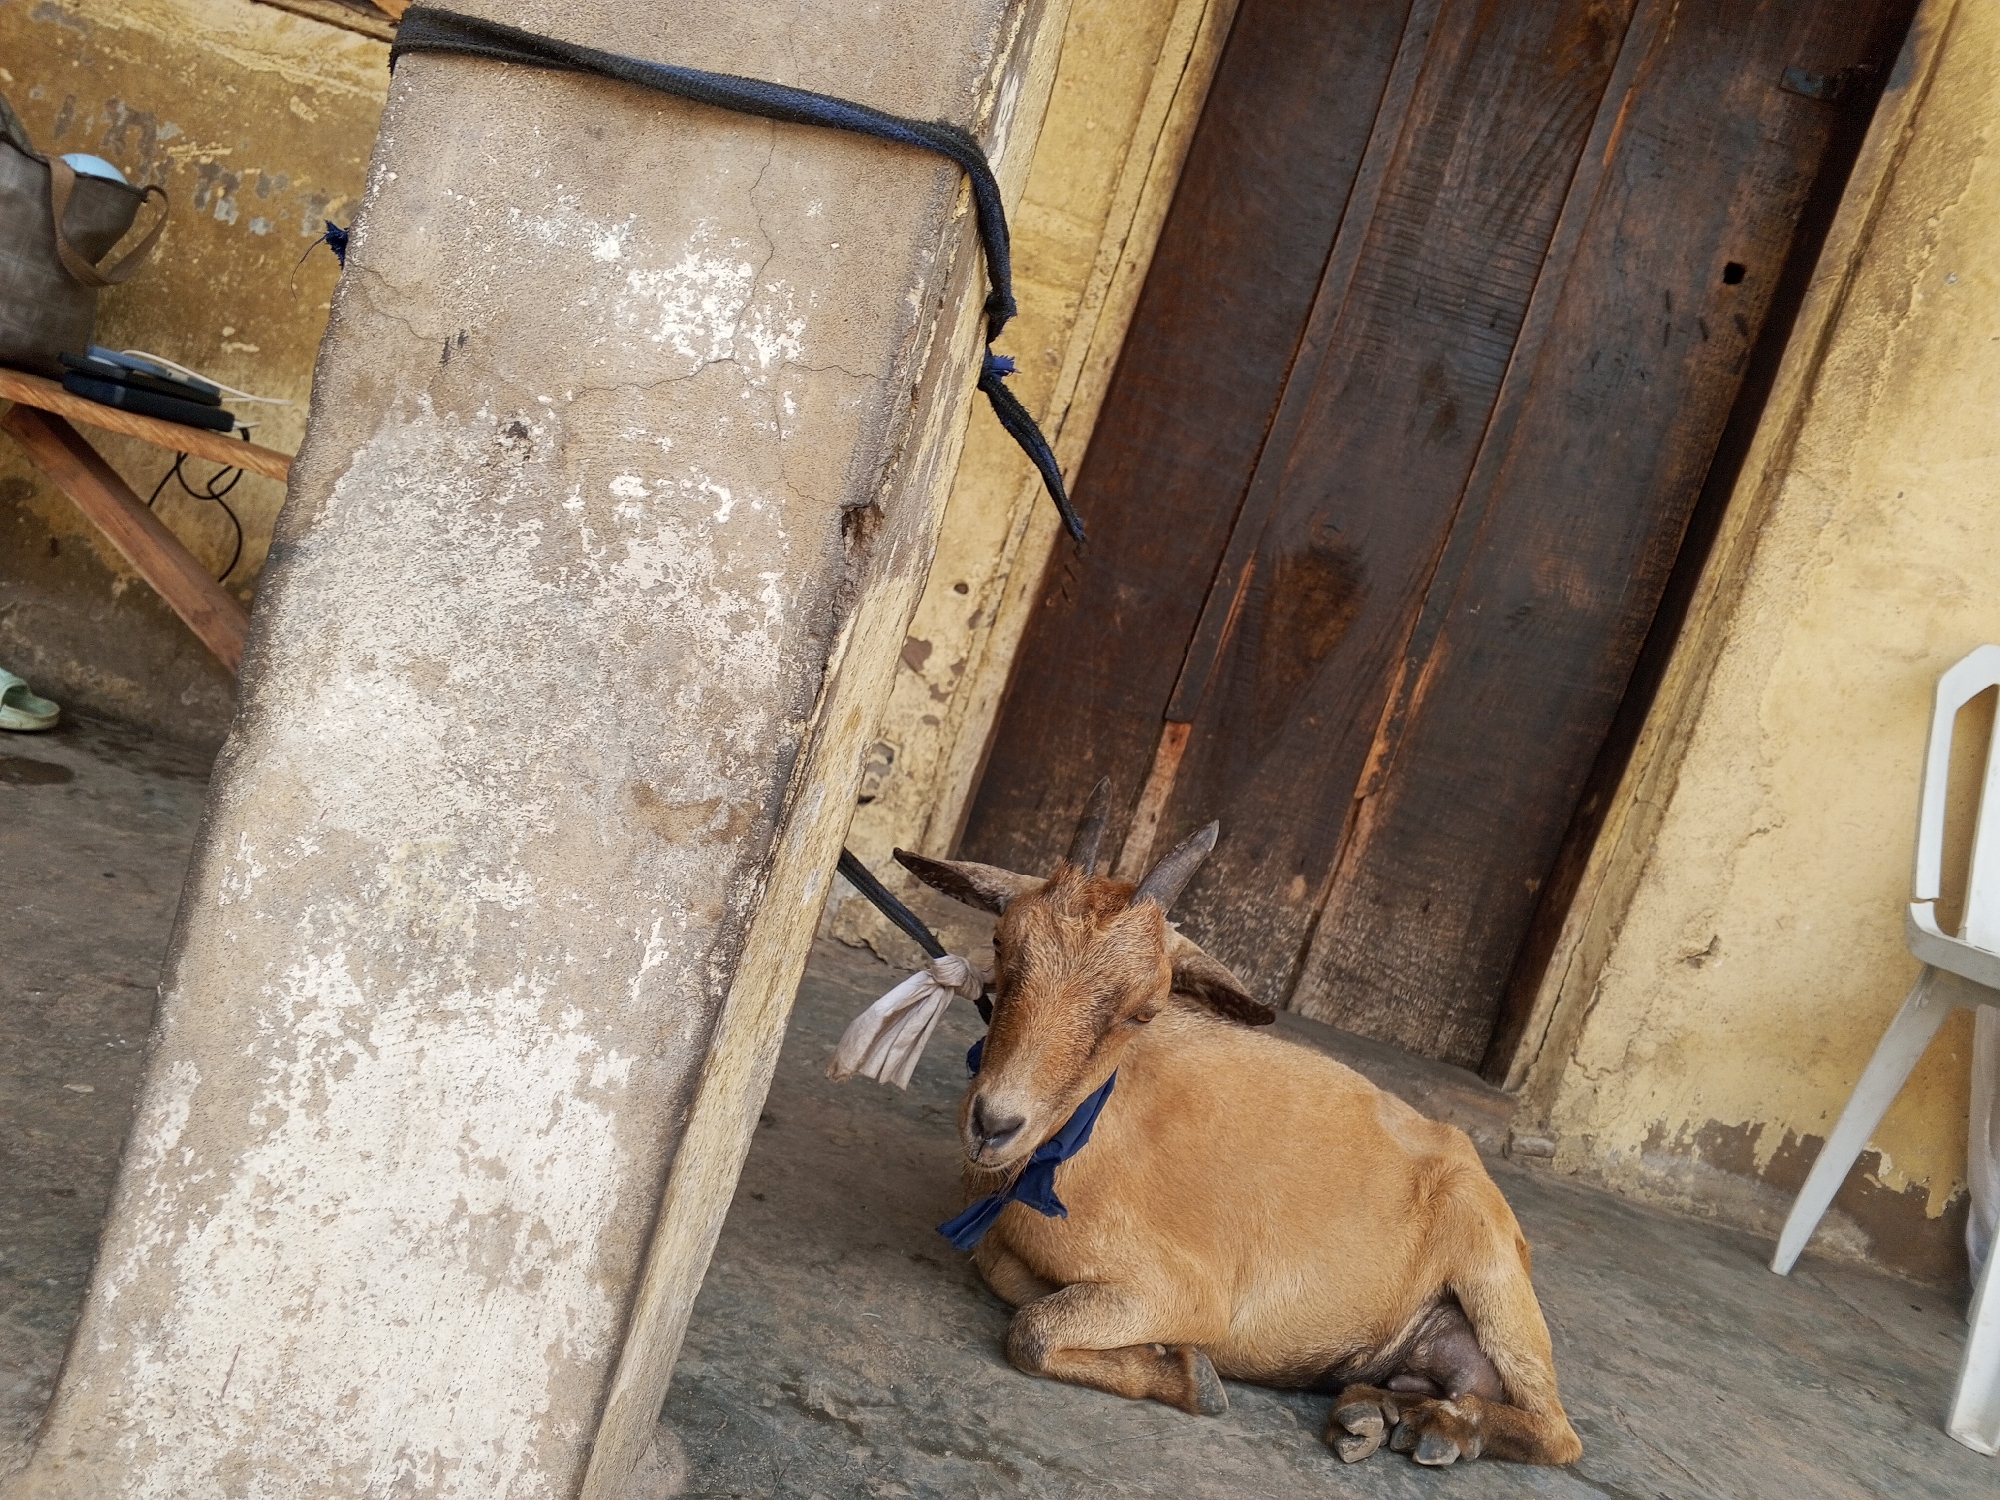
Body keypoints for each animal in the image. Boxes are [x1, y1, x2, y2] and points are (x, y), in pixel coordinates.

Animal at [892, 780, 1582, 1468]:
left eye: (1145, 1010)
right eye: (1001, 944)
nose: (993, 1123)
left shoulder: (1187, 1290)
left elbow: (1032, 1331)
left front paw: (1188, 1373)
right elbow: (1012, 1286)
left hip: (1494, 1275)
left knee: (1556, 1432)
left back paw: (1437, 1429)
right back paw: (1377, 1413)